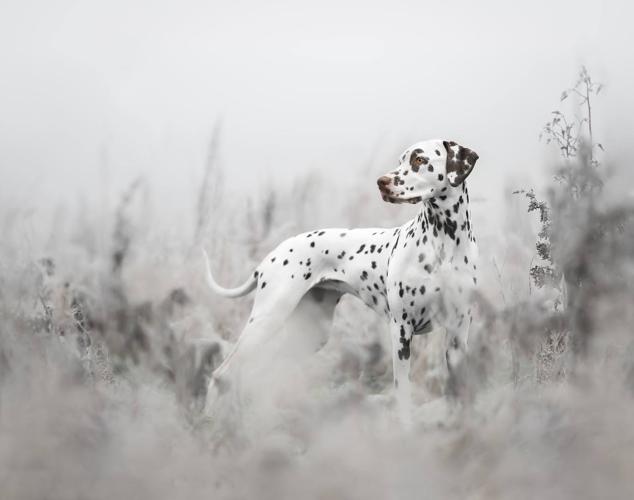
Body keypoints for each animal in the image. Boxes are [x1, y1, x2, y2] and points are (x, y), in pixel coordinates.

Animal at [205, 138, 476, 418]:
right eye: (401, 160)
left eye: (420, 160)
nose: (381, 182)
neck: (444, 245)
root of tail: (270, 256)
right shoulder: (401, 330)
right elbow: (402, 394)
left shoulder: (458, 334)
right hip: (266, 320)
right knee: (222, 374)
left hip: (310, 333)